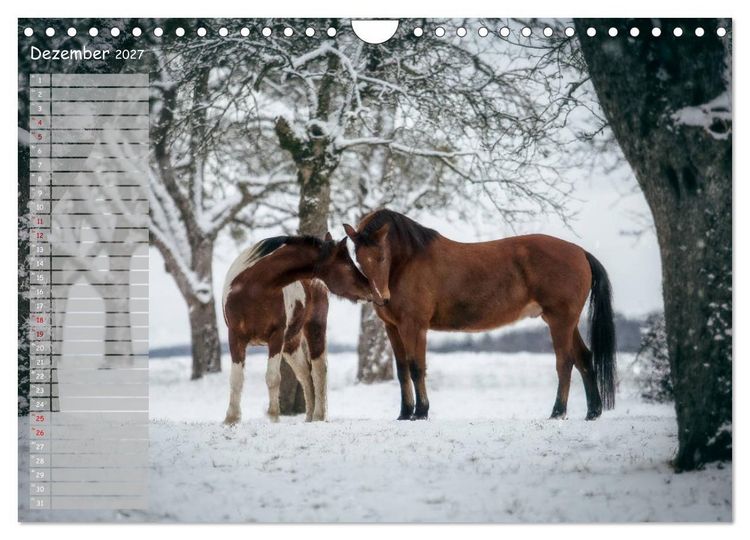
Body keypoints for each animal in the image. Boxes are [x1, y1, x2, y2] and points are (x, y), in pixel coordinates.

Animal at [222, 233, 372, 424]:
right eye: (347, 265)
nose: (370, 288)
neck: (253, 288)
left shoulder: (276, 337)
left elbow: (273, 378)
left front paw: (273, 417)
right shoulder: (235, 337)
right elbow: (236, 379)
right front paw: (231, 419)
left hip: (314, 328)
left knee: (319, 370)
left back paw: (318, 416)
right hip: (291, 344)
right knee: (304, 374)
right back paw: (308, 417)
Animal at [343, 209, 616, 421]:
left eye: (382, 256)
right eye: (358, 258)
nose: (381, 297)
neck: (407, 262)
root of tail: (580, 252)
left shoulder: (414, 326)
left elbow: (416, 368)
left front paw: (420, 412)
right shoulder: (392, 327)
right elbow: (402, 371)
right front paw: (404, 413)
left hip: (560, 321)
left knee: (565, 363)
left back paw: (558, 412)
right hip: (567, 322)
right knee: (584, 358)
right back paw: (593, 412)